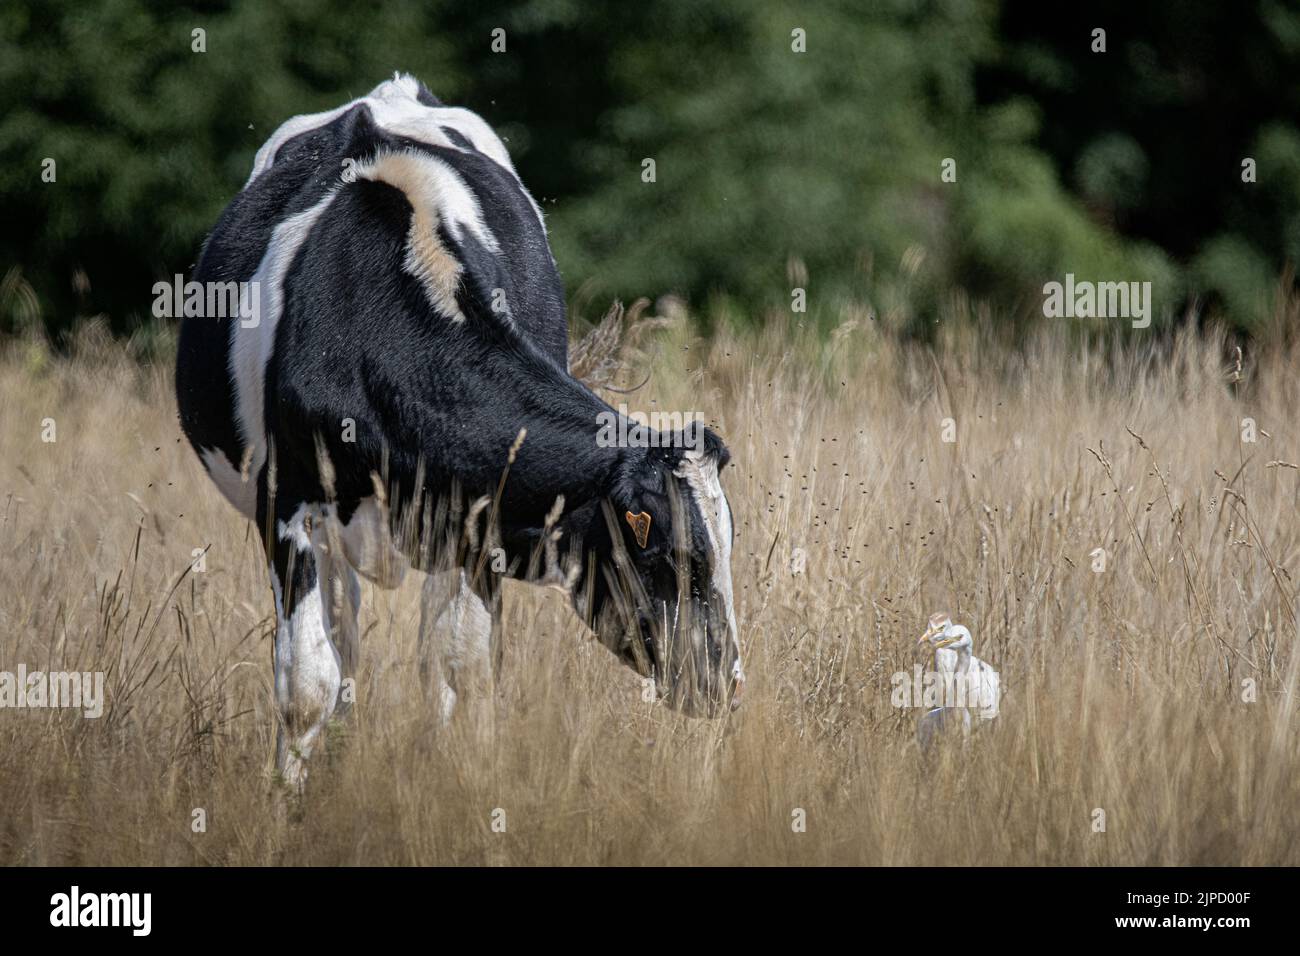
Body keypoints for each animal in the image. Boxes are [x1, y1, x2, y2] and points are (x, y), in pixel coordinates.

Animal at [175, 74, 743, 790]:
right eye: (670, 556)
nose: (726, 684)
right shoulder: (287, 502)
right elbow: (306, 681)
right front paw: (288, 801)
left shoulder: (481, 524)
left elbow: (460, 671)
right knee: (342, 640)